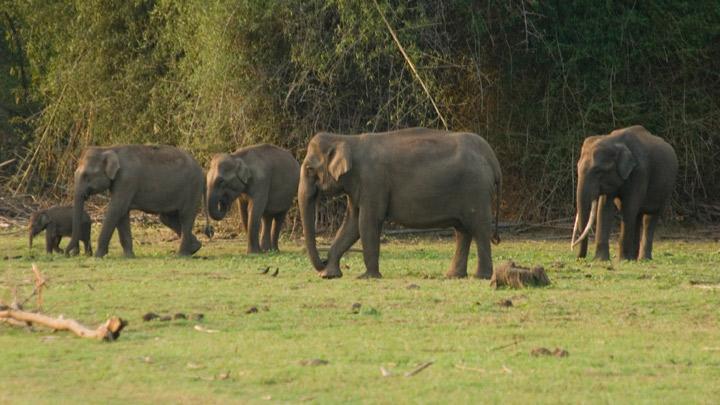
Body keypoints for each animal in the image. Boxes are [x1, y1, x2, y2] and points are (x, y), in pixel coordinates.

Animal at [65, 144, 212, 256]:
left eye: (86, 176)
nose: (69, 253)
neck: (109, 149)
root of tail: (203, 171)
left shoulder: (126, 180)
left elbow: (116, 209)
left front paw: (98, 256)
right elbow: (122, 214)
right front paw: (128, 256)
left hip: (192, 189)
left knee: (185, 217)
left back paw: (181, 255)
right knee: (167, 218)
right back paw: (195, 247)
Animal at [298, 126, 500, 278]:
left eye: (309, 169)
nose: (323, 262)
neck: (347, 139)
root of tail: (492, 157)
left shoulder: (373, 181)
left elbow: (368, 222)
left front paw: (368, 277)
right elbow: (351, 224)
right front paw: (329, 275)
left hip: (476, 190)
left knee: (479, 228)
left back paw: (481, 276)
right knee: (462, 231)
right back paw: (453, 276)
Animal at [568, 124, 680, 260]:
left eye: (598, 171)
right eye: (577, 168)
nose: (579, 257)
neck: (613, 141)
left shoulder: (640, 172)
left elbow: (628, 209)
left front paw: (622, 260)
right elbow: (604, 210)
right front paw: (601, 259)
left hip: (665, 189)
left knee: (649, 217)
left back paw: (643, 259)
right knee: (637, 216)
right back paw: (634, 258)